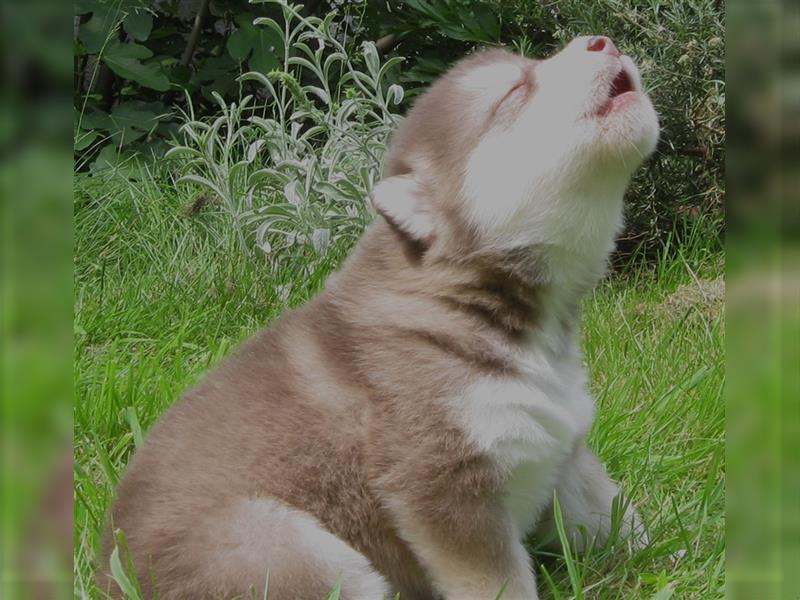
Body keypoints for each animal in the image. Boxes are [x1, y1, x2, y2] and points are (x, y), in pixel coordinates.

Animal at [100, 37, 660, 600]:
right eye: (514, 91)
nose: (601, 41)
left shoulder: (567, 451)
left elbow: (616, 515)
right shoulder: (443, 485)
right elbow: (498, 583)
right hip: (290, 549)